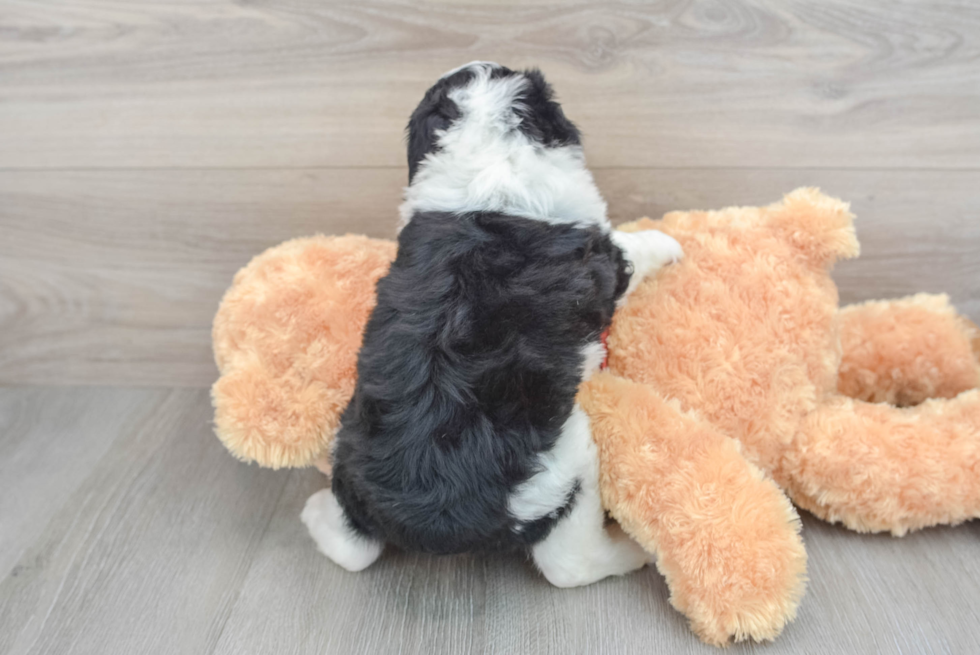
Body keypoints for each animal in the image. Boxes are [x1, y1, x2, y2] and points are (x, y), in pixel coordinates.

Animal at [300, 61, 680, 588]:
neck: (487, 154)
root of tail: (436, 525)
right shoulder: (604, 258)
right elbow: (635, 249)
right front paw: (671, 244)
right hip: (567, 466)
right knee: (568, 564)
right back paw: (631, 553)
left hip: (350, 447)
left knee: (352, 546)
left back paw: (316, 512)